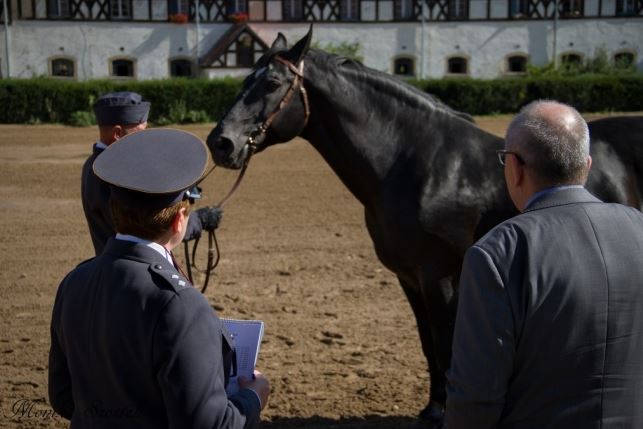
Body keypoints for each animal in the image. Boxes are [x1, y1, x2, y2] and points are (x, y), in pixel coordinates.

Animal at [208, 29, 643, 424]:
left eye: (271, 83)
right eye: (243, 81)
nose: (220, 143)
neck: (418, 162)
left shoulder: (440, 277)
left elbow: (445, 342)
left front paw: (443, 411)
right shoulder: (410, 278)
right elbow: (427, 344)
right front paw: (433, 407)